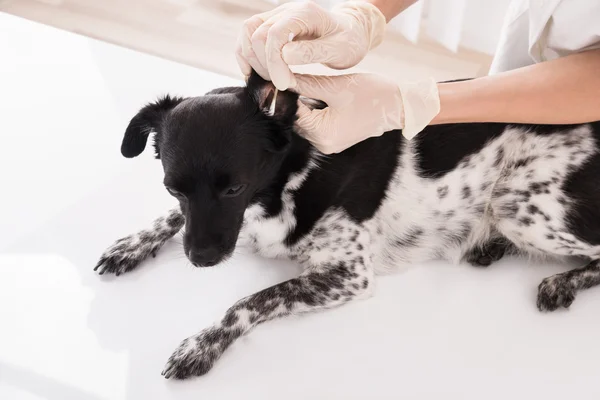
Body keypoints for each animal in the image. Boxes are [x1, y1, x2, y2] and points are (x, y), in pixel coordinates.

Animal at [95, 70, 600, 380]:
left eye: (234, 188)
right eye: (172, 188)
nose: (200, 261)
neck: (290, 178)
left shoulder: (349, 275)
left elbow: (251, 300)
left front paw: (202, 343)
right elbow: (174, 221)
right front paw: (131, 245)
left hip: (522, 203)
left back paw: (560, 281)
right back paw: (489, 247)